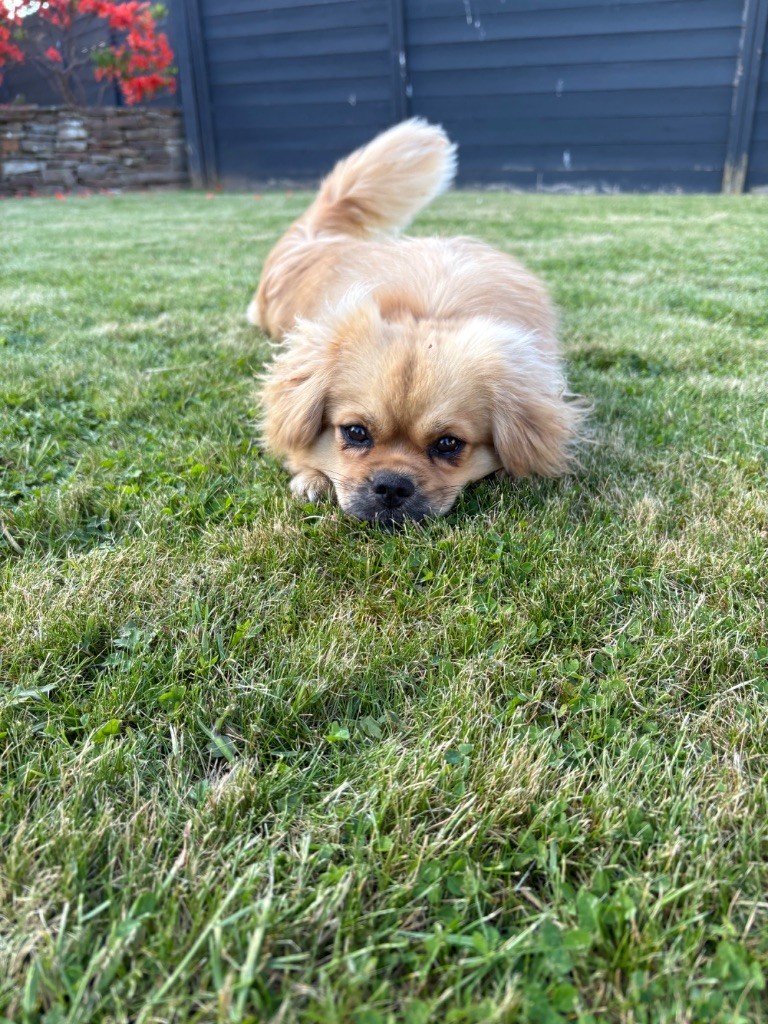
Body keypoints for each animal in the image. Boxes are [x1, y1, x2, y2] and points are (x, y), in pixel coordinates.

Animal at [249, 119, 581, 524]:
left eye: (448, 444)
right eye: (355, 432)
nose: (392, 484)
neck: (428, 313)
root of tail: (316, 238)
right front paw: (312, 478)